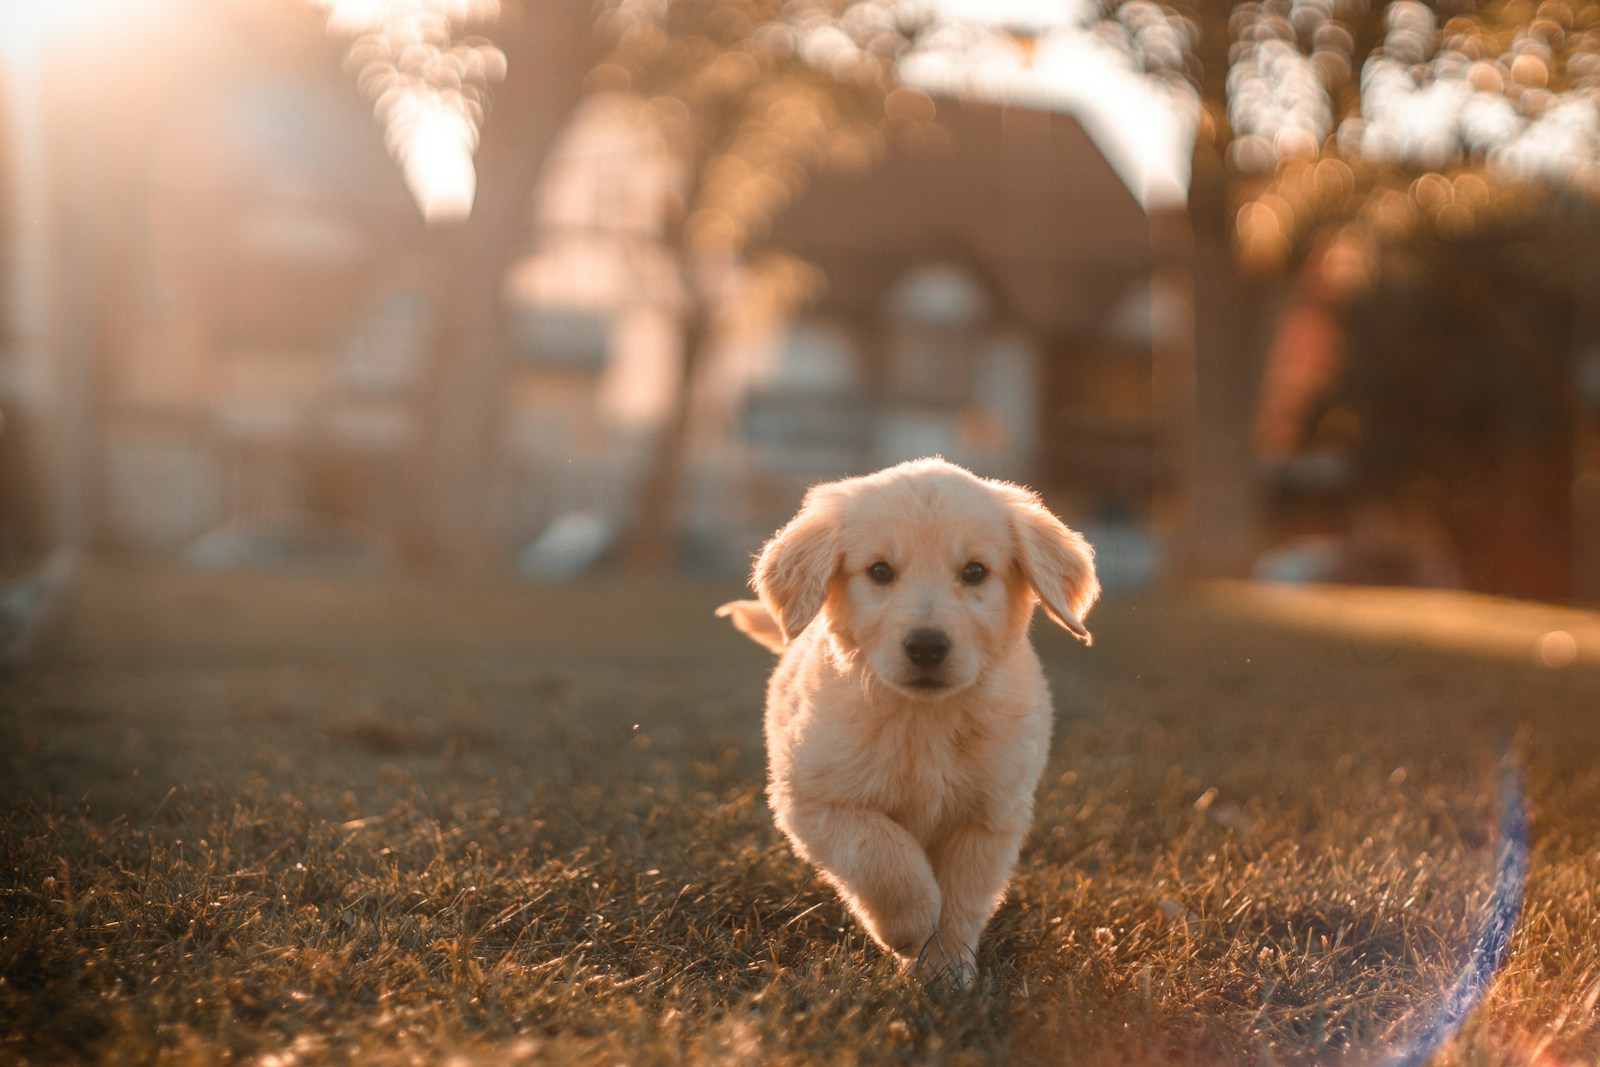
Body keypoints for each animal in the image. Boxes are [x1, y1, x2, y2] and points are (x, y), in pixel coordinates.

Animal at [716, 454, 1100, 991]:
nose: (927, 646)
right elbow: (883, 855)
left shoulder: (991, 815)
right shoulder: (815, 799)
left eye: (975, 571)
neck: (924, 718)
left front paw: (947, 971)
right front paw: (912, 927)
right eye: (880, 571)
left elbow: (963, 897)